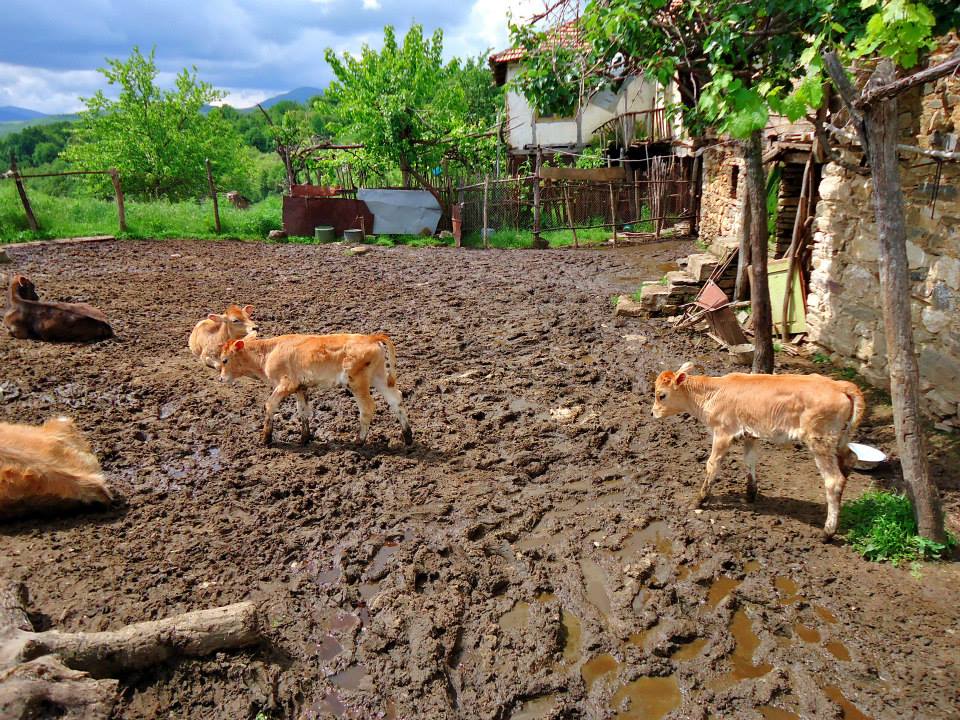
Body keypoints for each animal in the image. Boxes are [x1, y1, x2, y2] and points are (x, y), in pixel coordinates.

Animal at [219, 334, 414, 448]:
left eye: (224, 360)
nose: (220, 379)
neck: (269, 351)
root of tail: (371, 337)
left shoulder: (285, 385)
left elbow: (269, 405)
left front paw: (265, 439)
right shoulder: (300, 387)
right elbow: (303, 411)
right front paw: (304, 438)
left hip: (357, 383)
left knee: (367, 408)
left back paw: (358, 441)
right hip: (379, 377)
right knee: (396, 400)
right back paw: (408, 437)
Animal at [652, 362, 864, 536]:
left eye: (661, 395)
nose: (653, 413)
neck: (712, 394)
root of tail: (840, 385)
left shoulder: (722, 434)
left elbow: (712, 465)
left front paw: (698, 501)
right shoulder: (749, 435)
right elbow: (750, 460)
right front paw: (750, 494)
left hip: (819, 440)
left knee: (833, 480)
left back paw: (828, 531)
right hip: (839, 439)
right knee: (850, 460)